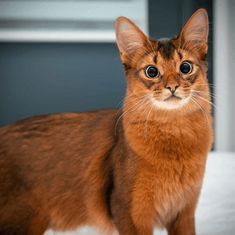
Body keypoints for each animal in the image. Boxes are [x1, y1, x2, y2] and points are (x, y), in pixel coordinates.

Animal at [0, 8, 213, 235]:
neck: (175, 136)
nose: (172, 87)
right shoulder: (128, 211)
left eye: (185, 67)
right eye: (152, 71)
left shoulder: (184, 212)